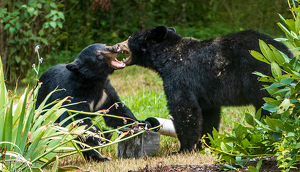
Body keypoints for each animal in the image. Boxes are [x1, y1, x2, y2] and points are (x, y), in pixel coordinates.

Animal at [116, 25, 292, 152]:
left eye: (130, 38)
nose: (117, 45)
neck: (167, 57)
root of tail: (286, 54)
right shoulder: (207, 92)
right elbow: (209, 115)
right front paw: (206, 144)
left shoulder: (180, 77)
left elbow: (184, 109)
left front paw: (184, 148)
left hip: (264, 75)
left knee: (269, 105)